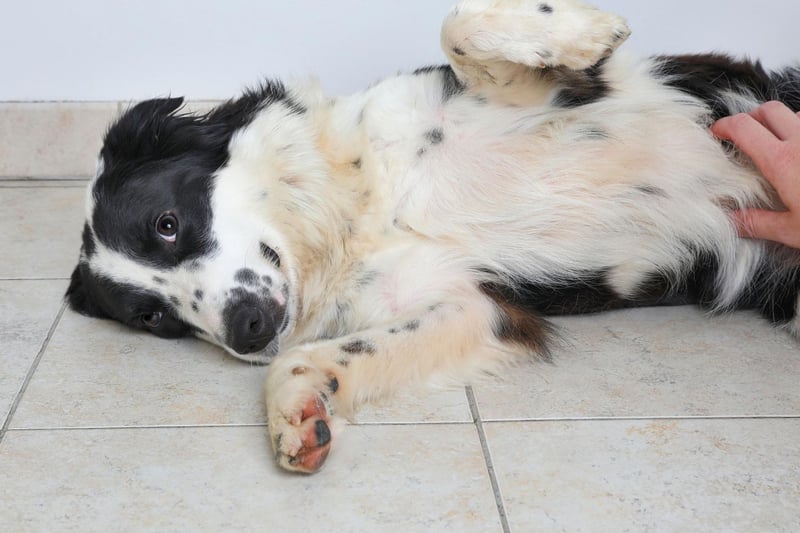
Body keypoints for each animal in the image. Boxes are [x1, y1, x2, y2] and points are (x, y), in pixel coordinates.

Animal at [67, 0, 800, 474]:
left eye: (167, 224)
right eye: (156, 318)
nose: (245, 329)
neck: (361, 204)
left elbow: (460, 24)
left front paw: (589, 29)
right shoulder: (465, 305)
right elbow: (305, 360)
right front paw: (296, 416)